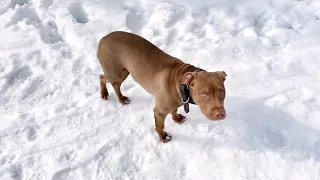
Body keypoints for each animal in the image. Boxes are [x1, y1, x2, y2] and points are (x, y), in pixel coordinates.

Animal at [96, 31, 226, 143]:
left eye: (222, 92)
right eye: (203, 94)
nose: (220, 114)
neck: (182, 84)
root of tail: (103, 38)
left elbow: (174, 110)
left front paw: (176, 118)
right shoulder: (159, 111)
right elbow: (159, 126)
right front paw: (163, 137)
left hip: (125, 71)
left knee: (113, 83)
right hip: (114, 73)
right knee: (103, 78)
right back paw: (110, 95)